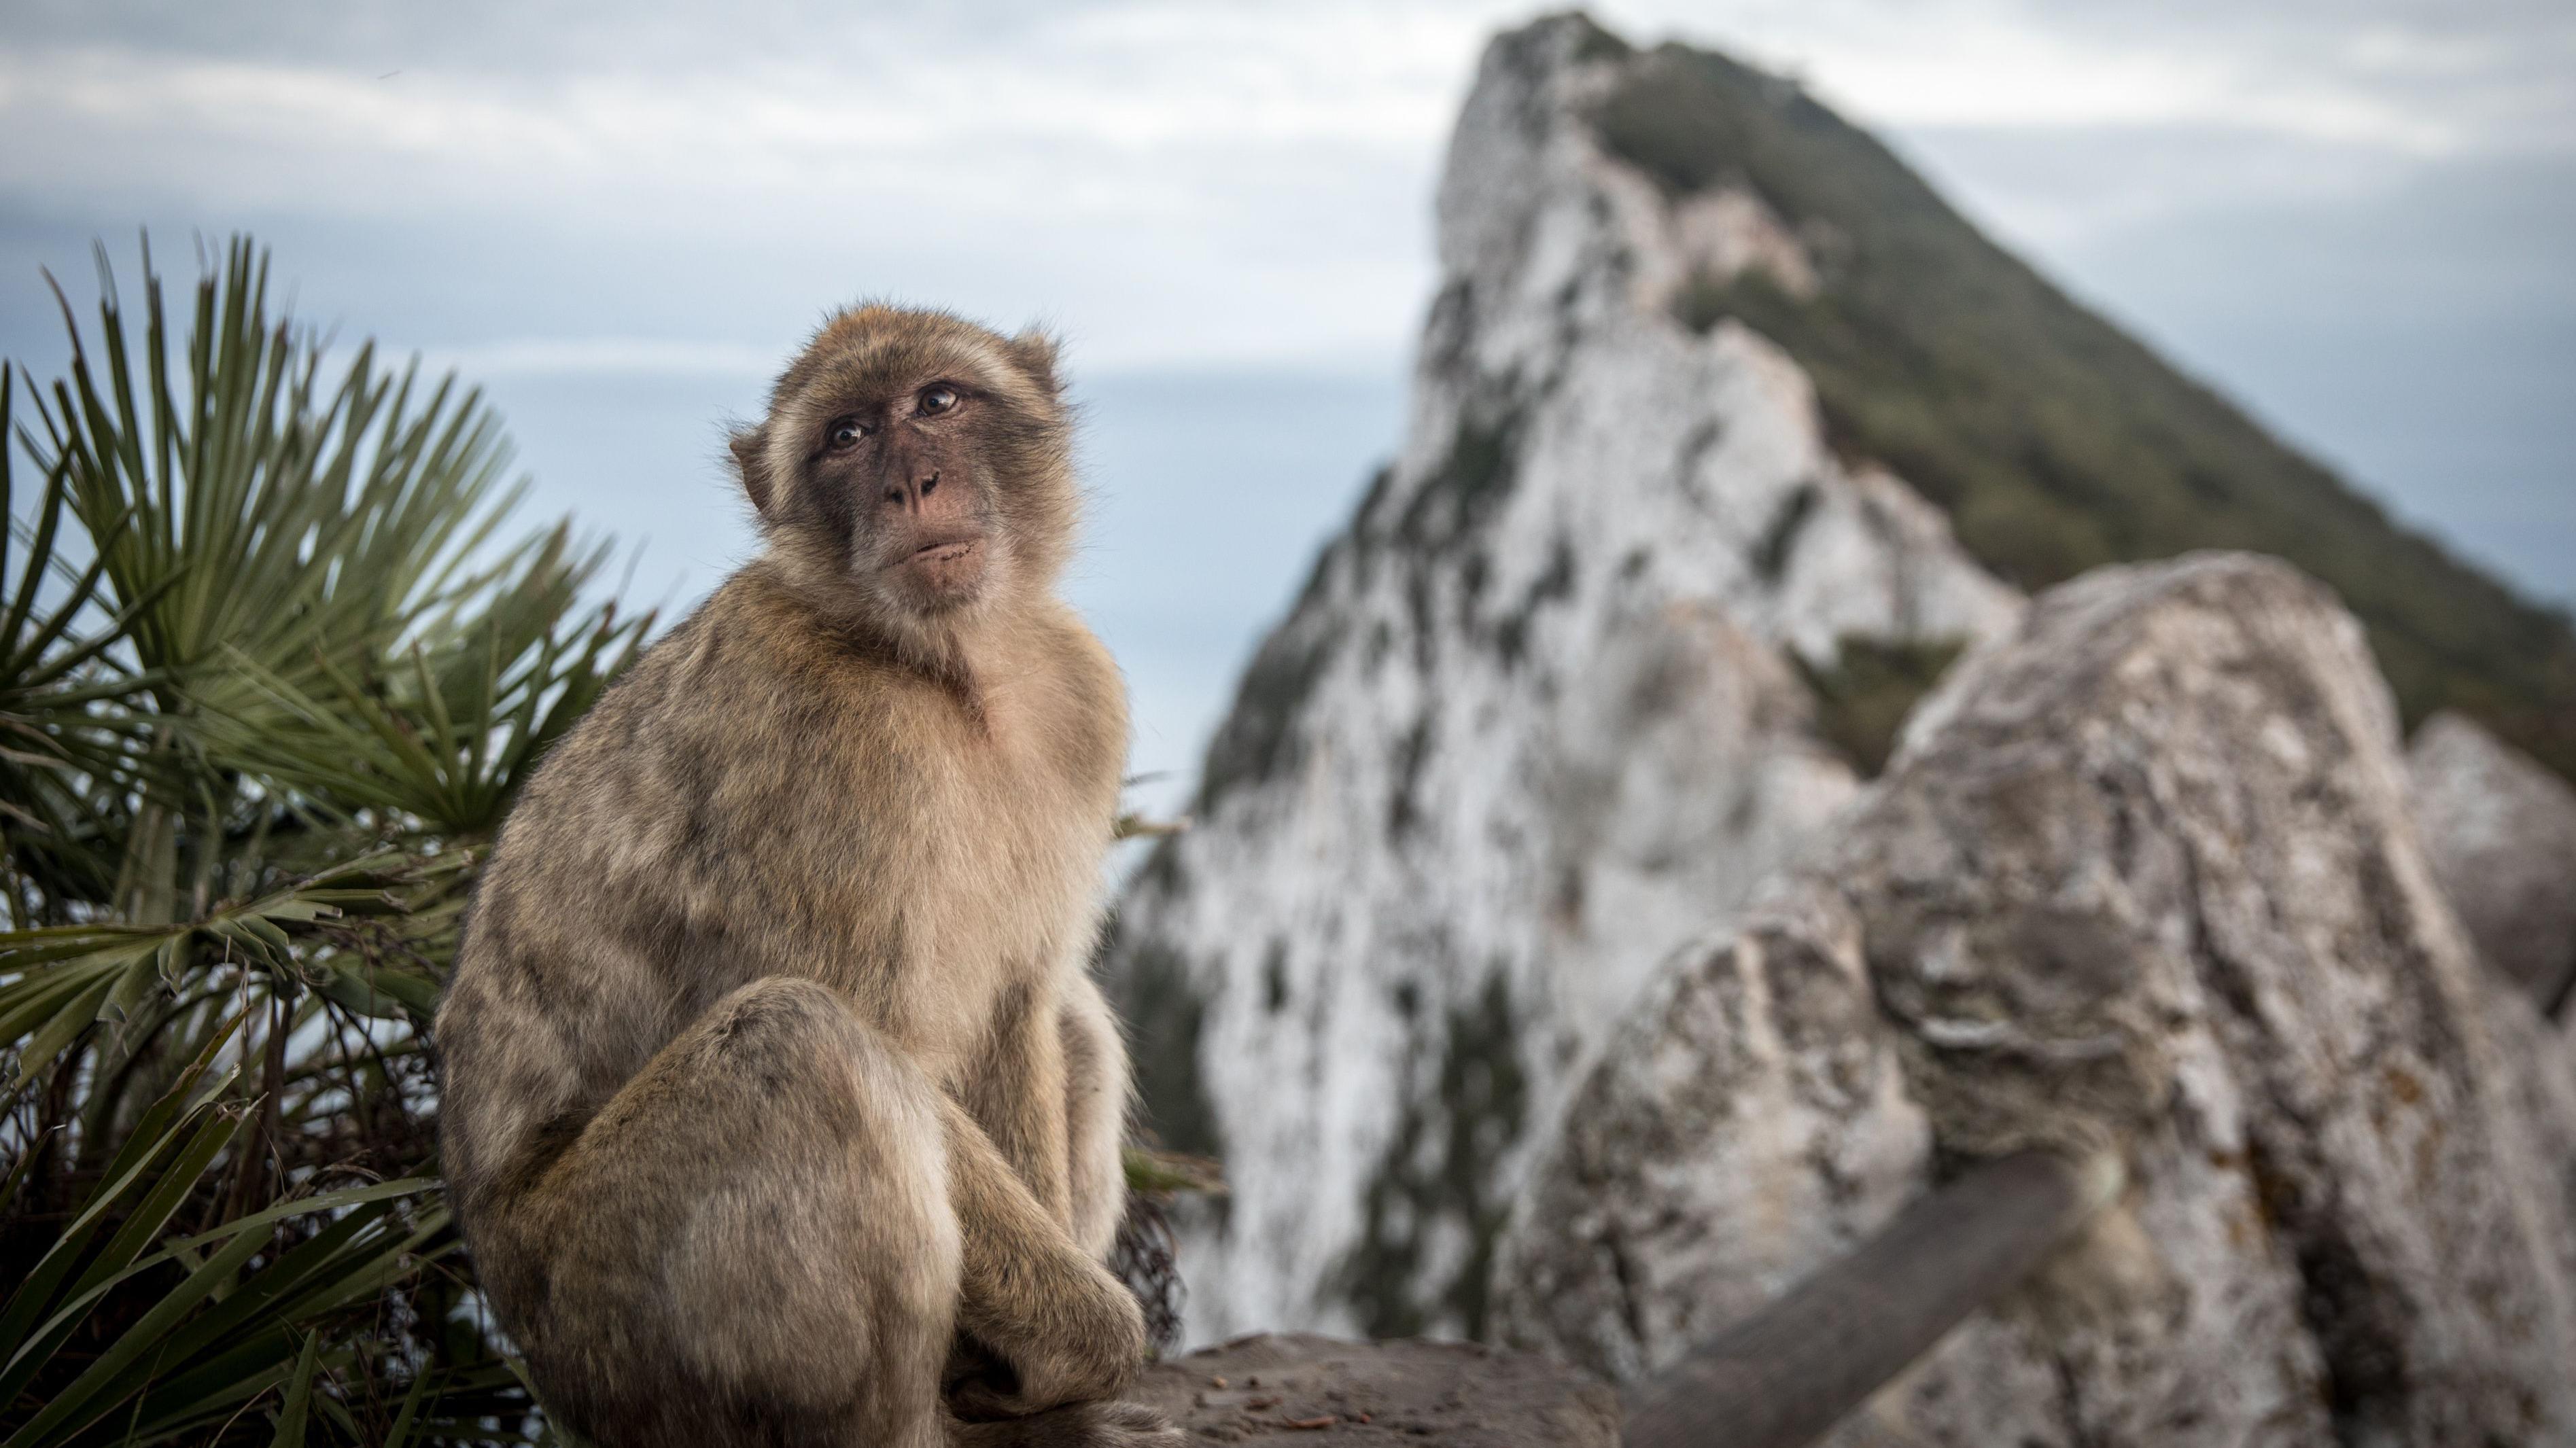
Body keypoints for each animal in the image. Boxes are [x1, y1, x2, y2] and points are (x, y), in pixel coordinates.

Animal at [433, 304, 1180, 1448]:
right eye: (846, 436)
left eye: (937, 400)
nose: (909, 483)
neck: (943, 668)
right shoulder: (820, 743)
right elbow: (886, 1041)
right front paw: (1090, 1340)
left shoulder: (1076, 694)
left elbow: (1020, 1006)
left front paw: (1045, 1368)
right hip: (608, 1324)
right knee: (799, 1040)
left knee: (1074, 1020)